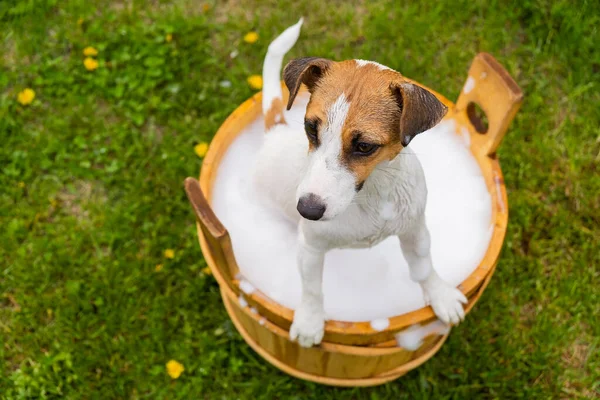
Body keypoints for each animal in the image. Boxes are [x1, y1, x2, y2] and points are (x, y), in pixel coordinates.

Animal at [253, 18, 468, 346]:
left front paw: (439, 294)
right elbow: (312, 288)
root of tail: (274, 133)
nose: (307, 210)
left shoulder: (415, 230)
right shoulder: (311, 247)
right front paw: (310, 320)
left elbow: (423, 268)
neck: (371, 196)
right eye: (310, 127)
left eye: (364, 146)